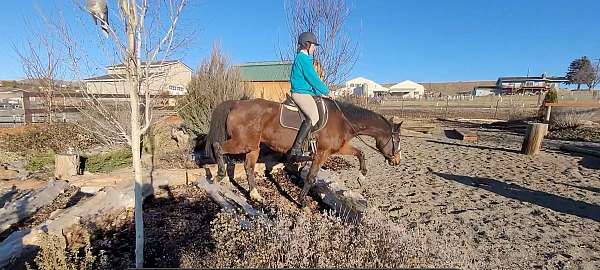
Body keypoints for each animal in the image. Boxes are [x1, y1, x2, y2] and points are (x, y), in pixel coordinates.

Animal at [205, 98, 404, 206]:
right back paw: (219, 175)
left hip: (253, 147)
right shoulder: (321, 153)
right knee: (218, 147)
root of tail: (237, 104)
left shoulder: (338, 148)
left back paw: (255, 194)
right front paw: (301, 201)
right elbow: (311, 177)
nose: (397, 161)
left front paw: (361, 176)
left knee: (248, 167)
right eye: (397, 140)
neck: (343, 121)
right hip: (243, 143)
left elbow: (360, 152)